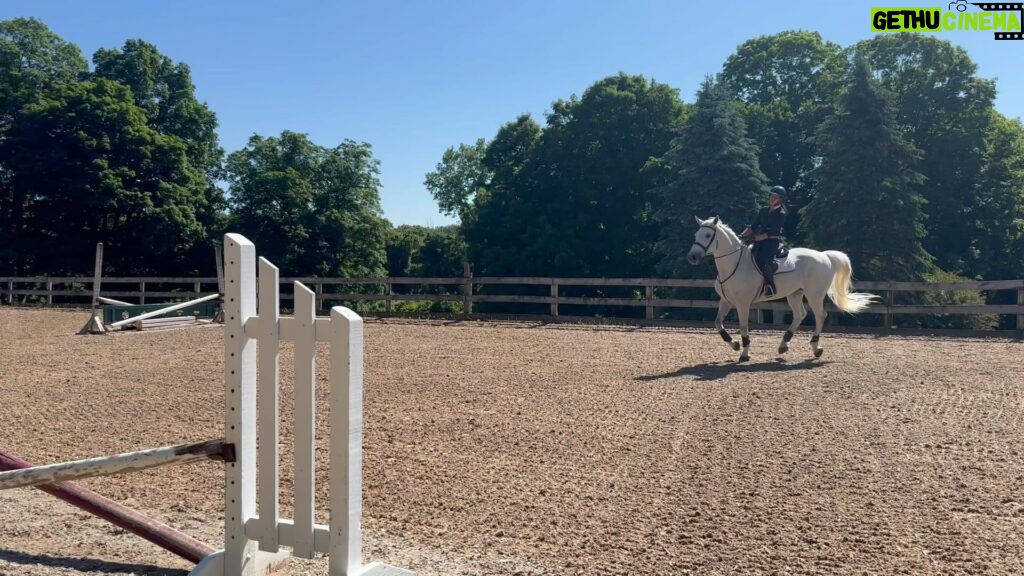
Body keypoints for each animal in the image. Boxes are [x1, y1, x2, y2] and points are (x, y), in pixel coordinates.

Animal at [688, 214, 872, 358]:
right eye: (696, 234)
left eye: (707, 235)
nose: (692, 257)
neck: (734, 264)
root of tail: (824, 256)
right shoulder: (726, 301)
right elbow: (718, 323)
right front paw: (734, 344)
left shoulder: (742, 304)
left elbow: (743, 326)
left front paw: (745, 353)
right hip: (795, 294)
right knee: (800, 314)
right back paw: (783, 345)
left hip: (815, 295)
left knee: (820, 316)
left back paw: (815, 348)